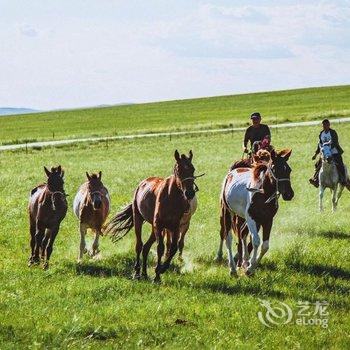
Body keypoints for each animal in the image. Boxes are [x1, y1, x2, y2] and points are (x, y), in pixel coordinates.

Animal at [105, 149, 201, 284]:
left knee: (146, 247)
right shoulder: (159, 225)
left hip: (154, 228)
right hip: (139, 219)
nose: (190, 193)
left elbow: (173, 248)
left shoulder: (175, 226)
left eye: (192, 169)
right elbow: (160, 248)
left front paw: (162, 268)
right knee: (139, 245)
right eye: (179, 170)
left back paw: (145, 274)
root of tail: (142, 183)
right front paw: (157, 276)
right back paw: (137, 273)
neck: (172, 198)